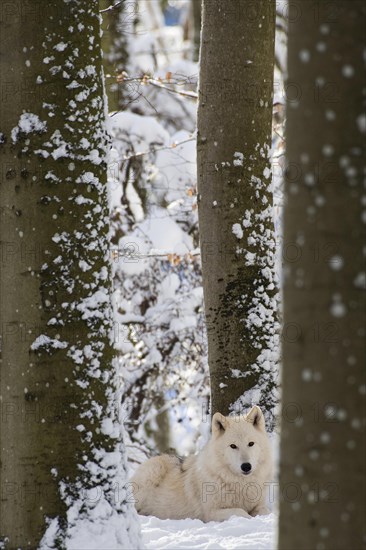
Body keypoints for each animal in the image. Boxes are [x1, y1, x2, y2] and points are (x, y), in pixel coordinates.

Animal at [129, 408, 272, 524]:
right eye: (233, 446)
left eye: (251, 443)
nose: (246, 466)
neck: (240, 484)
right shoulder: (211, 513)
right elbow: (241, 513)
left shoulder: (259, 505)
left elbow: (265, 512)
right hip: (154, 470)